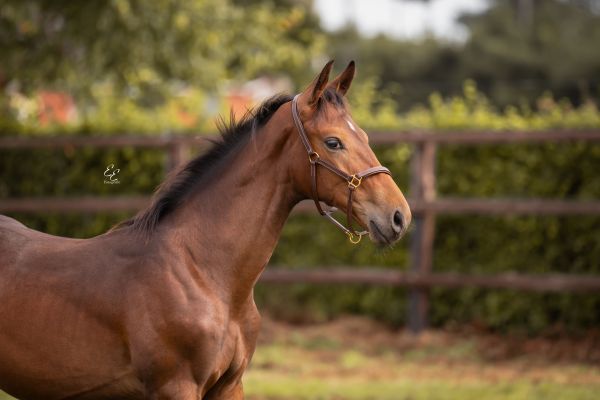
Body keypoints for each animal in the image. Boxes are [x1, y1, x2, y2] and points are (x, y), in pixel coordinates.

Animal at [0, 61, 412, 398]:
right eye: (333, 142)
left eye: (366, 138)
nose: (399, 216)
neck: (204, 272)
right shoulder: (176, 387)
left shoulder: (230, 386)